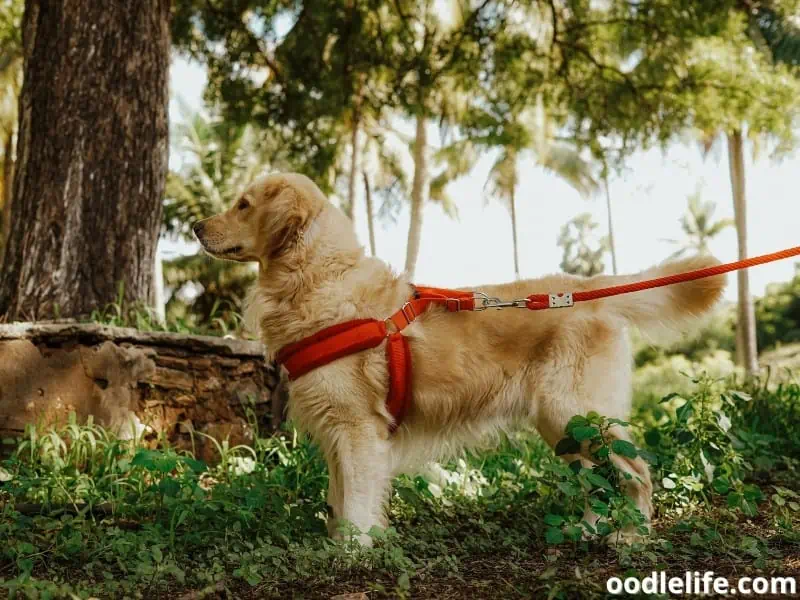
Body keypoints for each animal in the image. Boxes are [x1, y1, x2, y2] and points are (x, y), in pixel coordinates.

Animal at [192, 171, 724, 548]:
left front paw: (353, 554)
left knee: (635, 473)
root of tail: (589, 291)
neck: (317, 279)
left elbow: (356, 502)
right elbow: (338, 501)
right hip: (563, 426)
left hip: (576, 411)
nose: (195, 226)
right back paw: (589, 530)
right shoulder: (337, 433)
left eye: (243, 204)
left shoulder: (357, 429)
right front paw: (340, 545)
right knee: (595, 480)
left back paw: (632, 537)